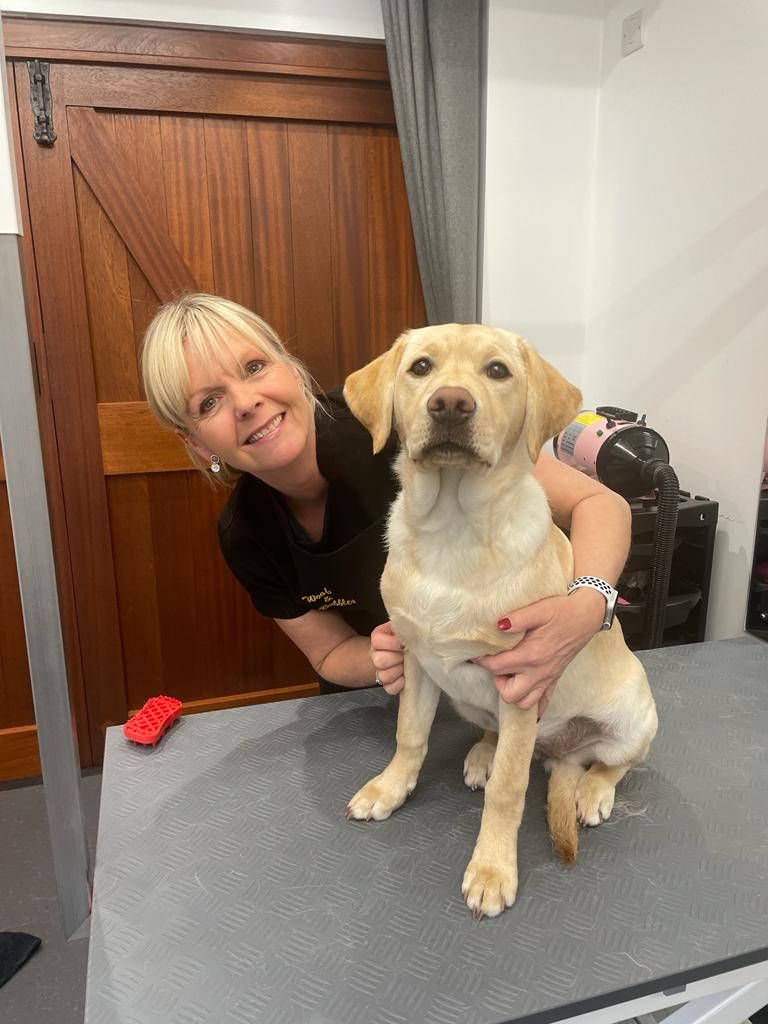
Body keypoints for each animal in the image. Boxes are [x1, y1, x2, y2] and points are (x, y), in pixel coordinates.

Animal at [346, 327, 659, 921]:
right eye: (421, 367)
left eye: (497, 372)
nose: (450, 403)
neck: (453, 529)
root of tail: (562, 754)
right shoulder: (418, 661)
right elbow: (409, 736)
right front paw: (389, 789)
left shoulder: (522, 682)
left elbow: (510, 790)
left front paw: (492, 870)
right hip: (467, 696)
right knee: (500, 735)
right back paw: (484, 753)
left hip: (635, 718)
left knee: (612, 765)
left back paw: (592, 791)